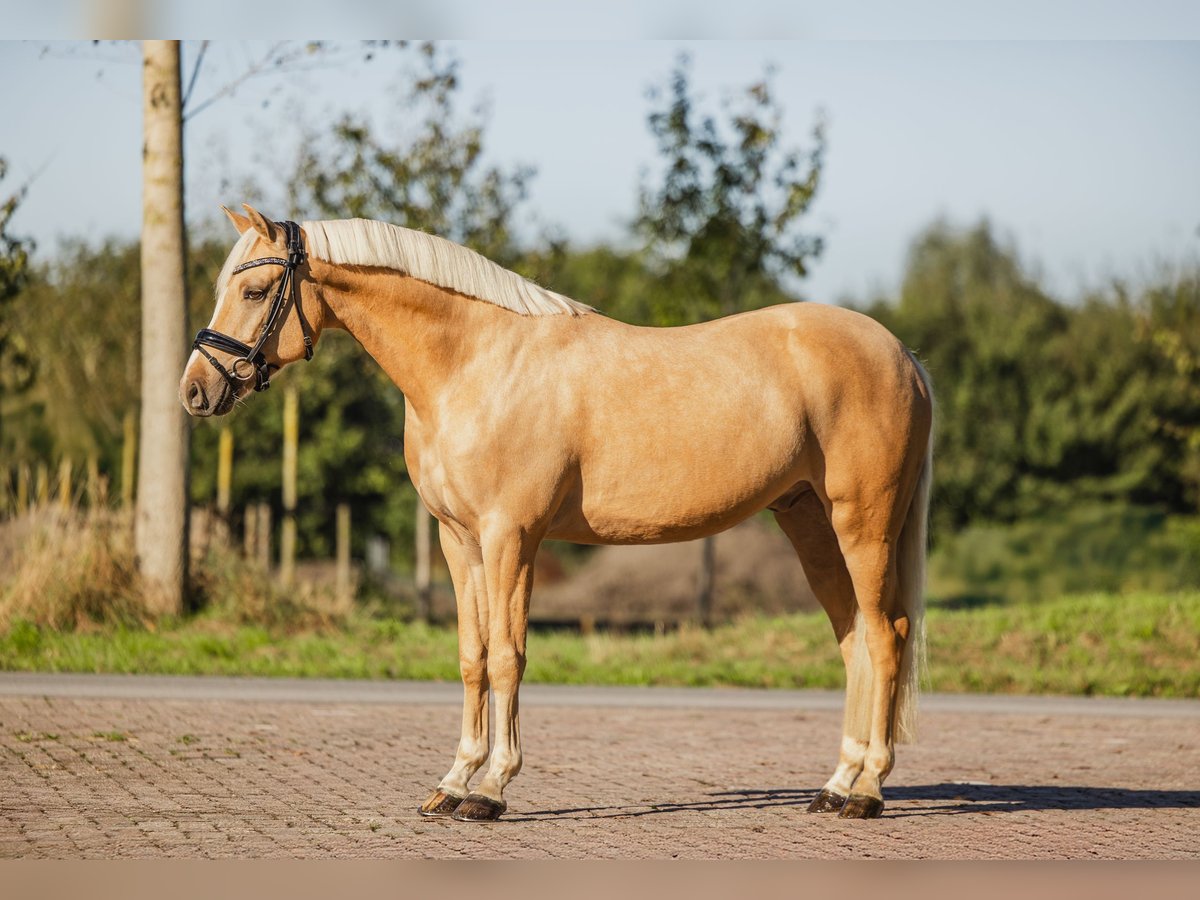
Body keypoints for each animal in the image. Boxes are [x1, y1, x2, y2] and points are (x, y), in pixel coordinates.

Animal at [182, 206, 931, 825]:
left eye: (254, 292)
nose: (195, 391)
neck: (474, 364)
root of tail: (903, 354)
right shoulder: (458, 541)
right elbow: (472, 656)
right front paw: (451, 783)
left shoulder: (511, 537)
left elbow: (508, 656)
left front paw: (489, 790)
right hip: (807, 521)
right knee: (854, 639)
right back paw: (835, 784)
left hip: (863, 524)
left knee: (885, 634)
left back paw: (867, 791)